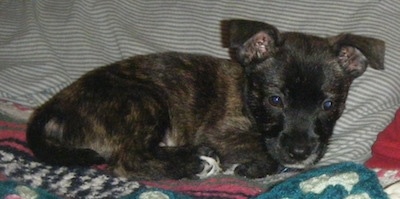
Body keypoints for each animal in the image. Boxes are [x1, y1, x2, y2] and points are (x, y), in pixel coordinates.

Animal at [25, 19, 384, 180]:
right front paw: (251, 166)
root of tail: (54, 106)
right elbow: (265, 152)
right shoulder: (223, 132)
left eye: (328, 105)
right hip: (143, 100)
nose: (300, 152)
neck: (247, 98)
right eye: (275, 100)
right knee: (129, 159)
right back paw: (195, 164)